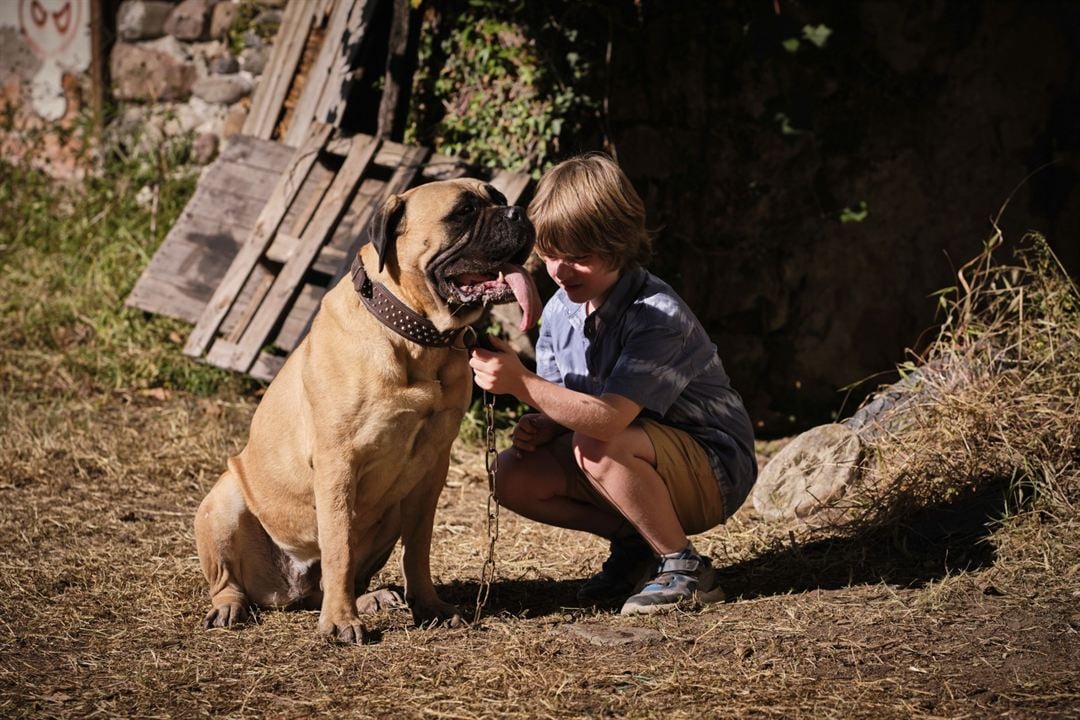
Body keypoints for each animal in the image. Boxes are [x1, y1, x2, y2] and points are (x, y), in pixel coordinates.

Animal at [194, 180, 540, 643]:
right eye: (463, 212)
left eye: (499, 198)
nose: (518, 212)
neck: (416, 337)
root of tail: (290, 587)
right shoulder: (338, 462)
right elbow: (338, 546)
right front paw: (341, 622)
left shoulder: (432, 468)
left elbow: (418, 549)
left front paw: (428, 606)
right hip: (223, 501)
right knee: (231, 580)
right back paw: (231, 607)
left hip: (386, 517)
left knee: (335, 581)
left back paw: (372, 598)